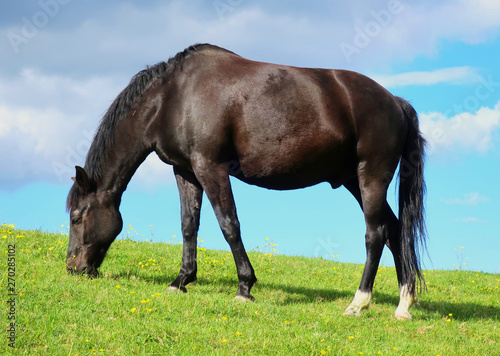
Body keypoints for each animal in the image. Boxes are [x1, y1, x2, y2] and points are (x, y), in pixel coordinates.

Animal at [66, 43, 426, 320]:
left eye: (76, 216)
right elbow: (188, 225)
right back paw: (403, 305)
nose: (73, 268)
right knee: (395, 230)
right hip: (354, 180)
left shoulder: (210, 166)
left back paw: (359, 302)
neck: (175, 96)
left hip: (371, 176)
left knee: (375, 234)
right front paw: (181, 280)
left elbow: (229, 224)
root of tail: (395, 101)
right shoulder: (186, 171)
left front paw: (244, 287)